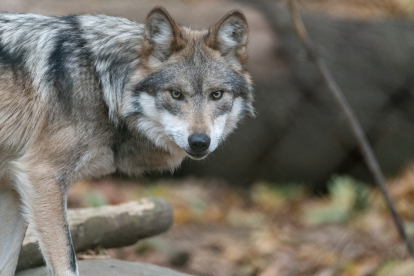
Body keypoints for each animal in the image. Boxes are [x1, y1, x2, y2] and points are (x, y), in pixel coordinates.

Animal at [0, 6, 252, 276]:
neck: (102, 85)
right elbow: (67, 263)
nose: (199, 142)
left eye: (216, 94)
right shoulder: (40, 175)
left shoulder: (14, 185)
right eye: (176, 94)